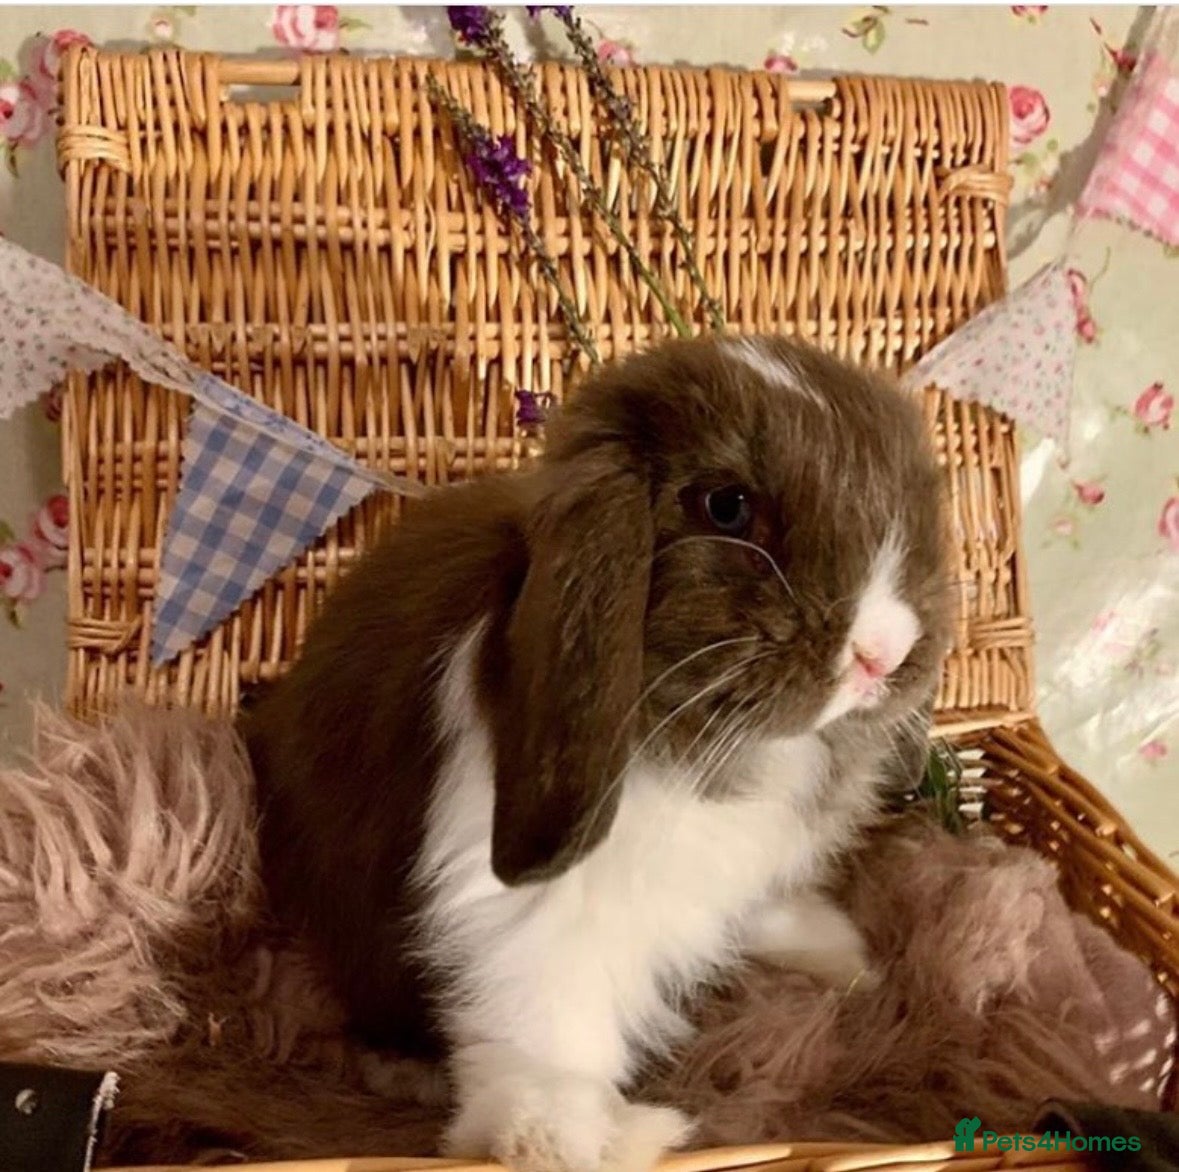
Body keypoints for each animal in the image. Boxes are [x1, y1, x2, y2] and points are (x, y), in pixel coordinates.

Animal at [243, 334, 953, 1172]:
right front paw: (576, 1139)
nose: (882, 652)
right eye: (726, 507)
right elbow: (546, 1038)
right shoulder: (528, 914)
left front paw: (848, 958)